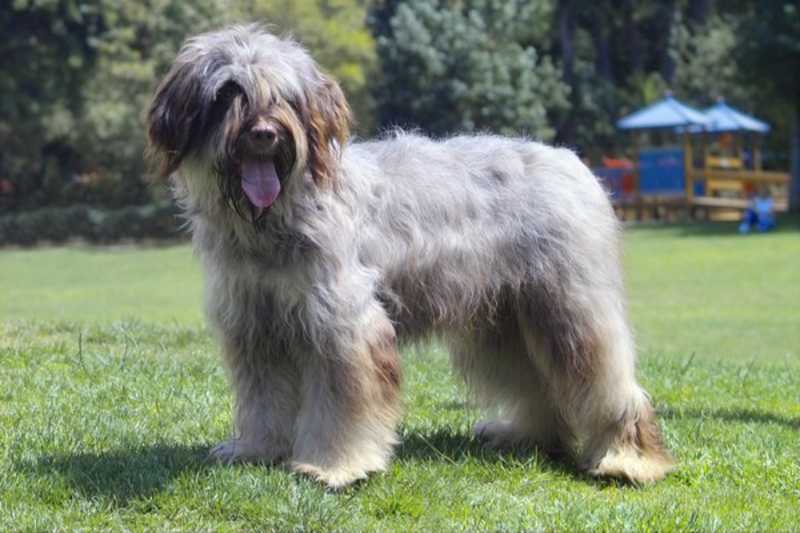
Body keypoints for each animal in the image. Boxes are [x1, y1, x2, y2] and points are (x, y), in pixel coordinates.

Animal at [147, 26, 672, 490]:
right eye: (227, 92)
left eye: (287, 97)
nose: (264, 134)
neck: (275, 222)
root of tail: (572, 161)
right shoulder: (255, 326)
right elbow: (262, 399)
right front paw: (255, 449)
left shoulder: (343, 326)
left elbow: (343, 403)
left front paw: (336, 467)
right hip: (506, 319)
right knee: (538, 384)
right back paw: (526, 434)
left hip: (569, 309)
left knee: (607, 382)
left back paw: (626, 458)